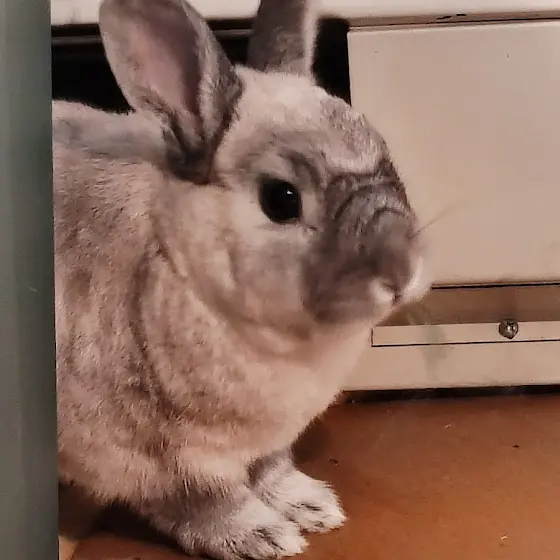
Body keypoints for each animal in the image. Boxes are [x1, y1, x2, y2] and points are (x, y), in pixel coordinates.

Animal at [53, 0, 431, 558]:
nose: (401, 273)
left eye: (387, 156)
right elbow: (204, 503)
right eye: (281, 199)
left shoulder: (267, 442)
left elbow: (272, 471)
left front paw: (313, 506)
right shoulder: (157, 459)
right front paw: (265, 537)